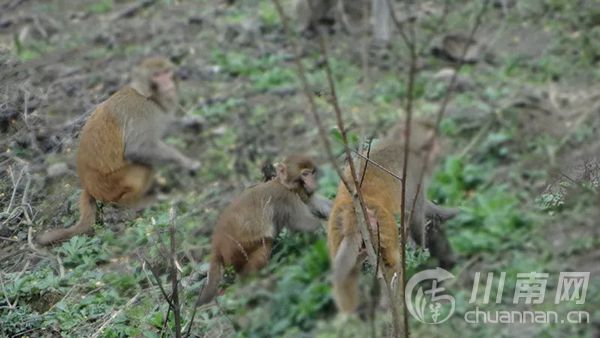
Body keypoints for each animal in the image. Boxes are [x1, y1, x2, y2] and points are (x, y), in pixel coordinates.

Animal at [38, 56, 202, 244]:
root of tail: (88, 187)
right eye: (157, 75)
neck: (147, 95)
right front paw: (187, 163)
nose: (167, 82)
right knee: (143, 167)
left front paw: (191, 123)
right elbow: (136, 149)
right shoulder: (142, 112)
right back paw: (136, 204)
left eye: (167, 72)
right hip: (111, 186)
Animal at [197, 156, 330, 306]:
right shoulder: (286, 198)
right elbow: (307, 224)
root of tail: (216, 245)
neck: (283, 184)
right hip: (236, 250)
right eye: (305, 174)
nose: (313, 182)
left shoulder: (301, 194)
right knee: (265, 243)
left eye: (312, 173)